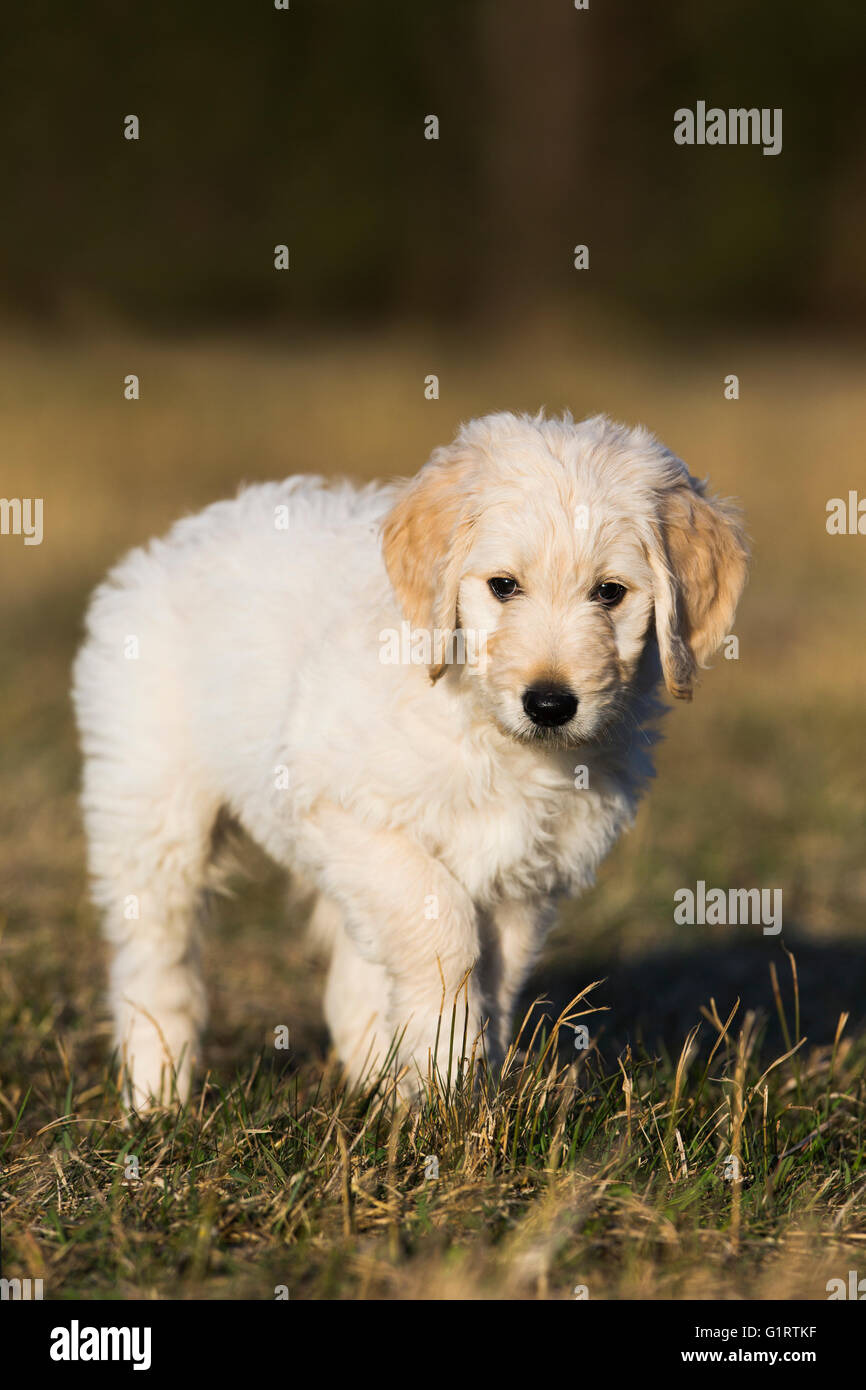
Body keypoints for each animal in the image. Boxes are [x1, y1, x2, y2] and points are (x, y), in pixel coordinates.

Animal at [74, 408, 750, 1106]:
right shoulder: (344, 808)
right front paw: (446, 1070)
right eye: (503, 587)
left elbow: (494, 975)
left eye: (610, 593)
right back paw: (157, 1095)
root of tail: (177, 539)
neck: (490, 734)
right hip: (151, 811)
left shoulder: (526, 877)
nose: (550, 704)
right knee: (157, 959)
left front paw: (461, 1087)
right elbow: (443, 930)